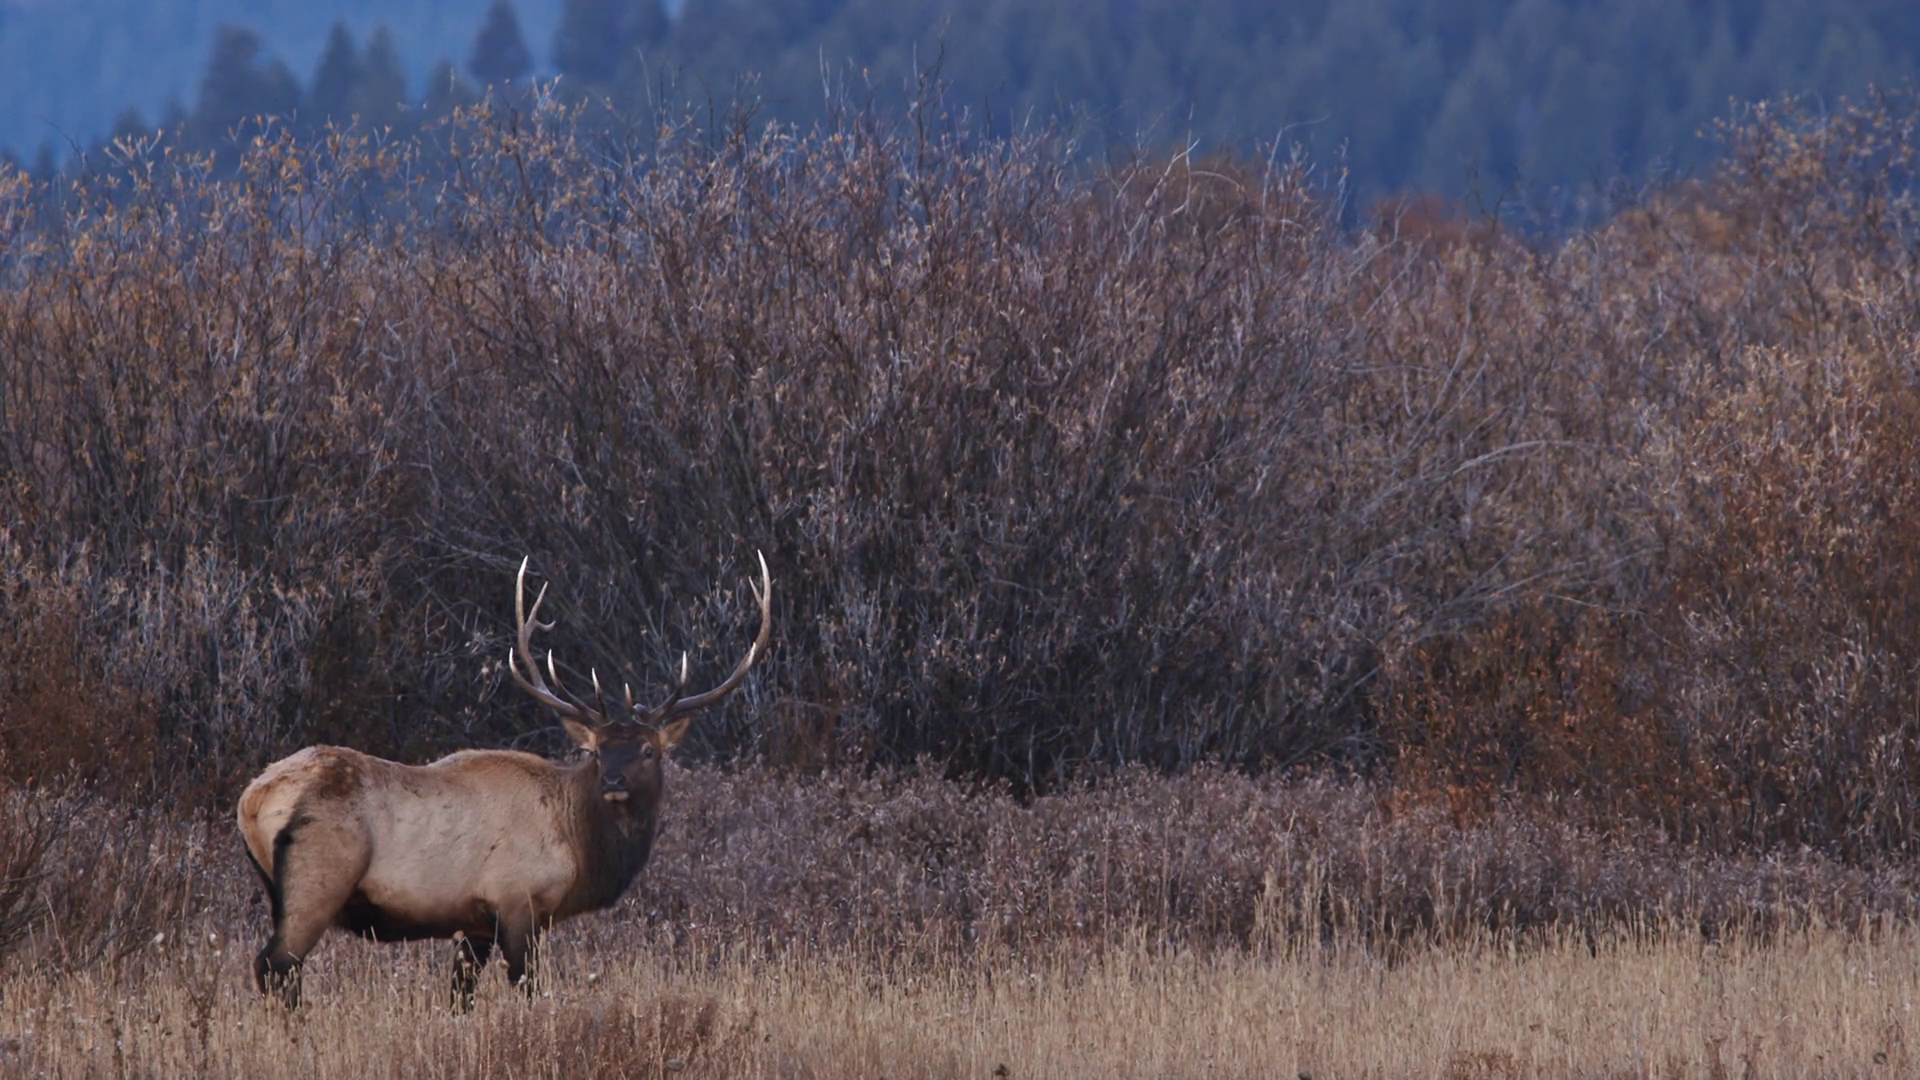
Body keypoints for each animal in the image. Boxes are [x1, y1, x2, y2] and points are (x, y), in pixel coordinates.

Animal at [237, 553, 771, 1008]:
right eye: (595, 751)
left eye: (648, 750)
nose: (614, 780)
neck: (579, 846)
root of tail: (251, 800)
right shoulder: (518, 902)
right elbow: (530, 991)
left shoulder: (473, 924)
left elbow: (459, 999)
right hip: (318, 876)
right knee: (275, 965)